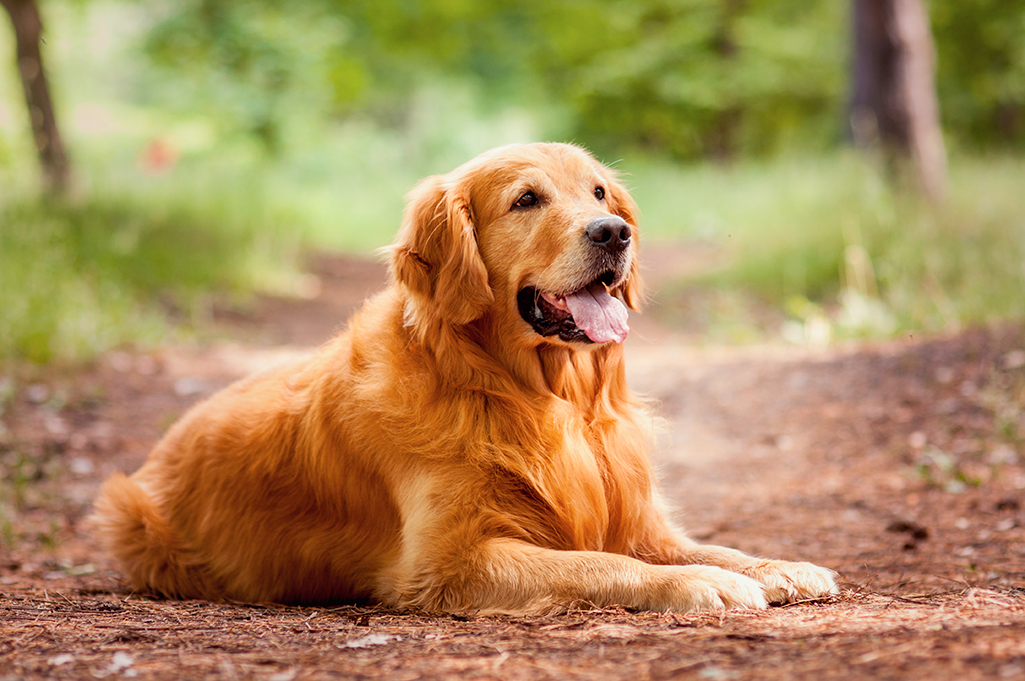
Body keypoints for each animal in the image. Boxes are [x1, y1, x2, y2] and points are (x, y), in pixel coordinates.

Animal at [92, 142, 836, 611]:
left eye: (598, 191)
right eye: (526, 199)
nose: (613, 231)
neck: (537, 396)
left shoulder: (638, 518)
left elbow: (707, 545)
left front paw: (777, 565)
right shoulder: (449, 560)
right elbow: (599, 563)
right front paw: (698, 584)